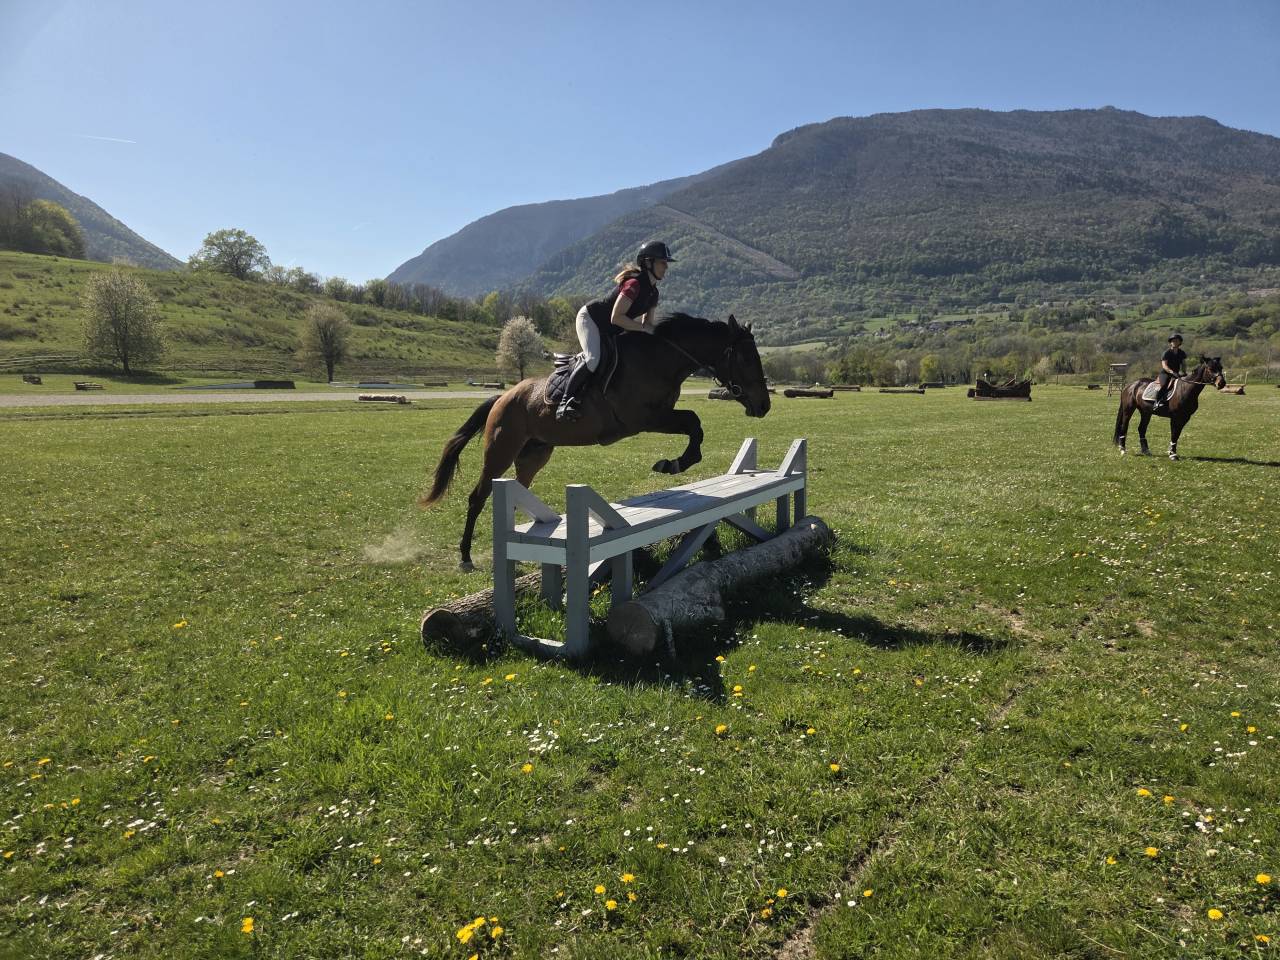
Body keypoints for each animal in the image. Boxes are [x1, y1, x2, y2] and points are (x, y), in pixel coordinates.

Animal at [420, 313, 772, 570]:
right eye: (746, 358)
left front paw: (674, 463)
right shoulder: (644, 419)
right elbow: (693, 423)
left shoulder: (660, 416)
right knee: (477, 498)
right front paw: (671, 464)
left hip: (535, 454)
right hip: (500, 452)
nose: (764, 405)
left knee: (518, 490)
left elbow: (694, 424)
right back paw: (465, 557)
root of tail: (503, 397)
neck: (661, 360)